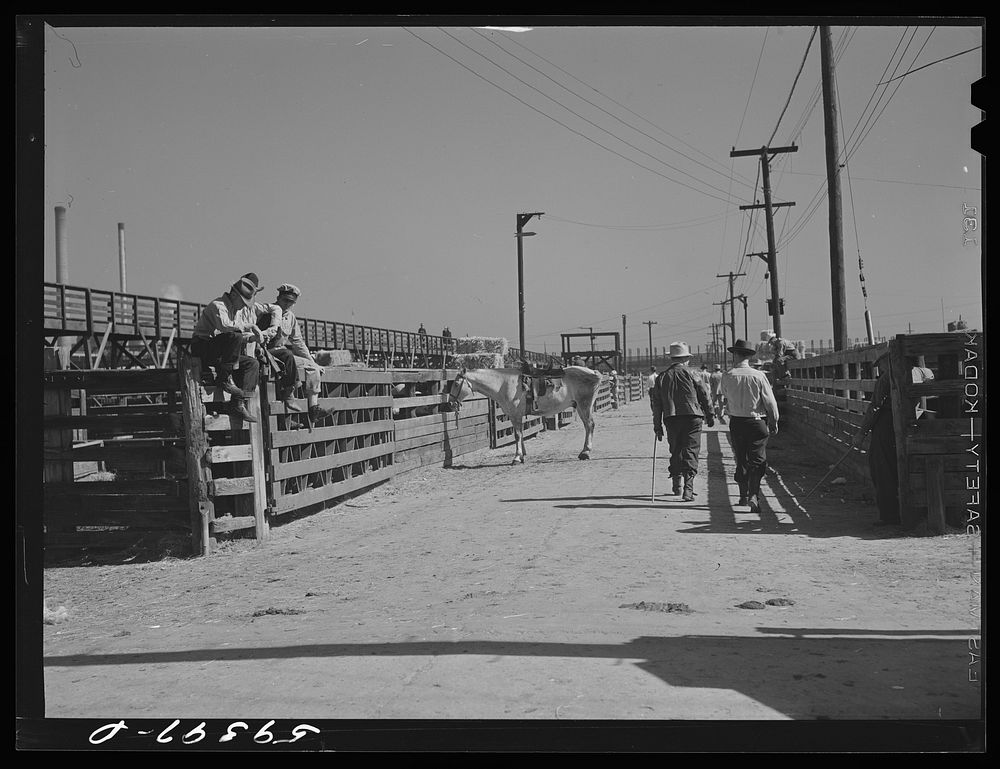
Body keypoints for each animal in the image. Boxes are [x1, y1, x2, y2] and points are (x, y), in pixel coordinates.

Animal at [448, 364, 600, 464]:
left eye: (456, 384)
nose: (450, 403)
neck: (503, 383)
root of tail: (593, 372)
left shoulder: (515, 415)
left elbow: (517, 435)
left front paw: (517, 457)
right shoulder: (517, 415)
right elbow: (520, 434)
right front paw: (522, 456)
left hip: (584, 405)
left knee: (589, 425)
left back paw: (585, 452)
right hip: (581, 406)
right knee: (588, 426)